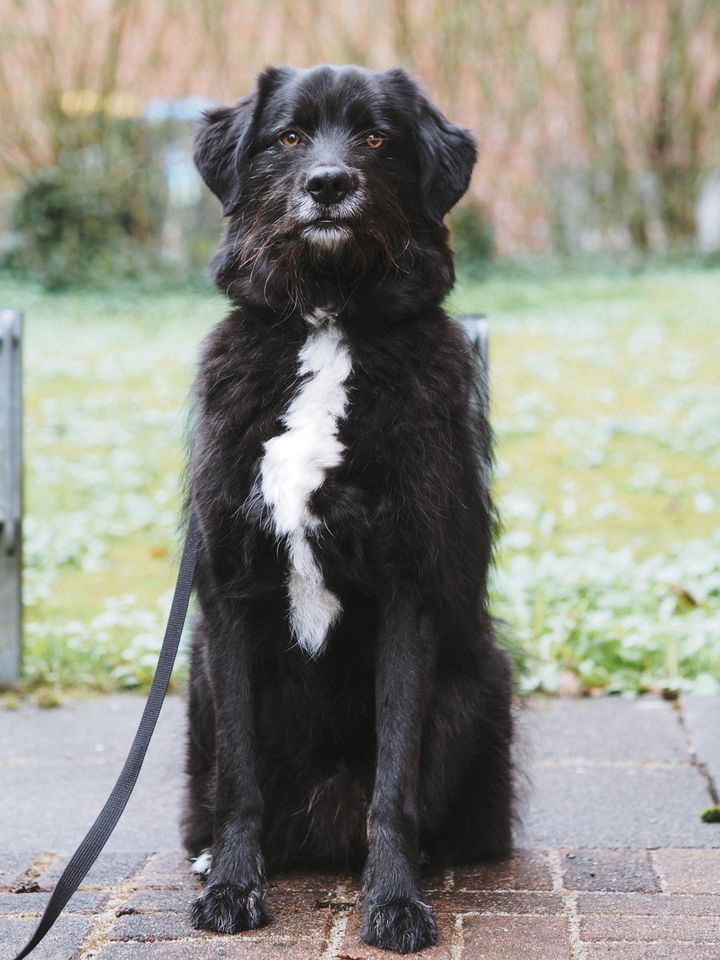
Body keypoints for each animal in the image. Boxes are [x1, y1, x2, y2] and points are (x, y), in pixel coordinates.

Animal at [183, 62, 516, 952]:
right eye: (290, 136)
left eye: (375, 138)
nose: (329, 185)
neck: (329, 321)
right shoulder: (227, 599)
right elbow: (240, 779)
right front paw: (234, 887)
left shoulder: (408, 599)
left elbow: (394, 785)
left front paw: (395, 901)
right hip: (195, 684)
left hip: (477, 683)